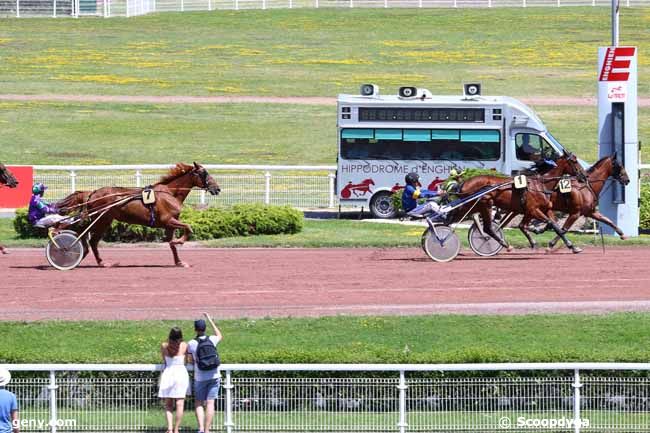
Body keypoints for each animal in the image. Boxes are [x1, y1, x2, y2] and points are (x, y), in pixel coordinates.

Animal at [56, 163, 218, 266]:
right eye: (204, 173)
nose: (217, 188)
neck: (169, 193)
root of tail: (92, 193)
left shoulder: (169, 224)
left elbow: (172, 244)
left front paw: (178, 261)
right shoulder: (167, 220)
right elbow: (188, 227)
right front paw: (180, 241)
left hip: (102, 220)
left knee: (85, 236)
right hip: (102, 220)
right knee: (87, 237)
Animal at [454, 152, 584, 253]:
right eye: (575, 161)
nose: (583, 176)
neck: (540, 185)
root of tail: (464, 183)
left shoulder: (539, 210)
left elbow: (555, 226)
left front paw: (572, 246)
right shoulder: (533, 210)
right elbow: (550, 224)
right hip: (484, 205)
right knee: (487, 228)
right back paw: (505, 244)